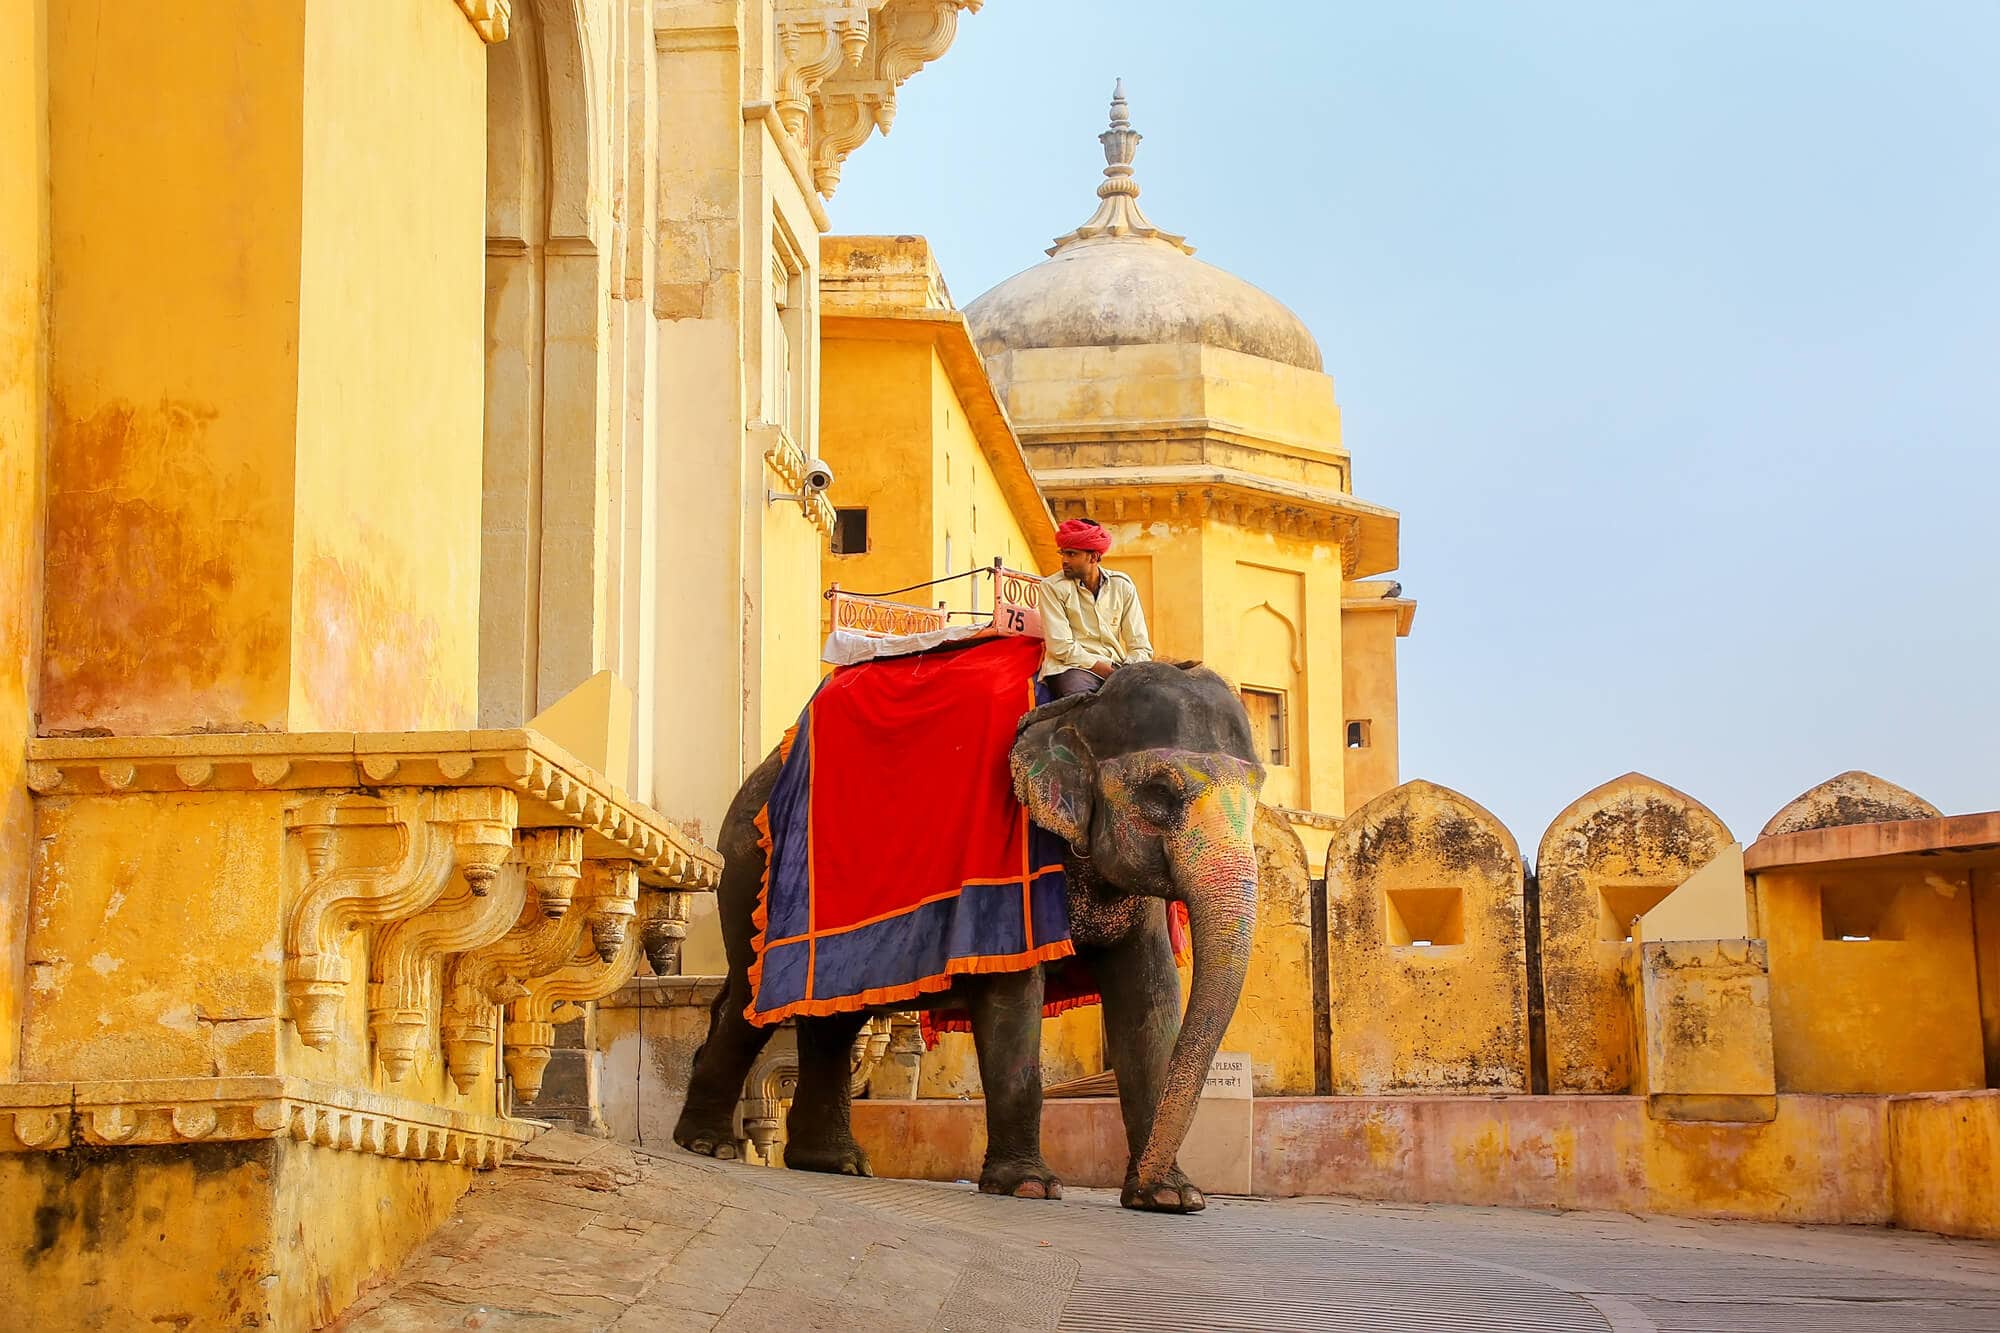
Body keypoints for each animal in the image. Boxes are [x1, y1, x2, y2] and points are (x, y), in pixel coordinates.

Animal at [672, 660, 1264, 1208]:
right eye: (1160, 792)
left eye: (1257, 797)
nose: (1153, 1180)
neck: (1076, 712)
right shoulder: (1007, 864)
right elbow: (1013, 999)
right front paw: (1028, 1188)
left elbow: (1150, 999)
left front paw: (1169, 1198)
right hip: (747, 867)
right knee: (747, 1003)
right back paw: (708, 1145)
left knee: (833, 1020)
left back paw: (833, 1163)